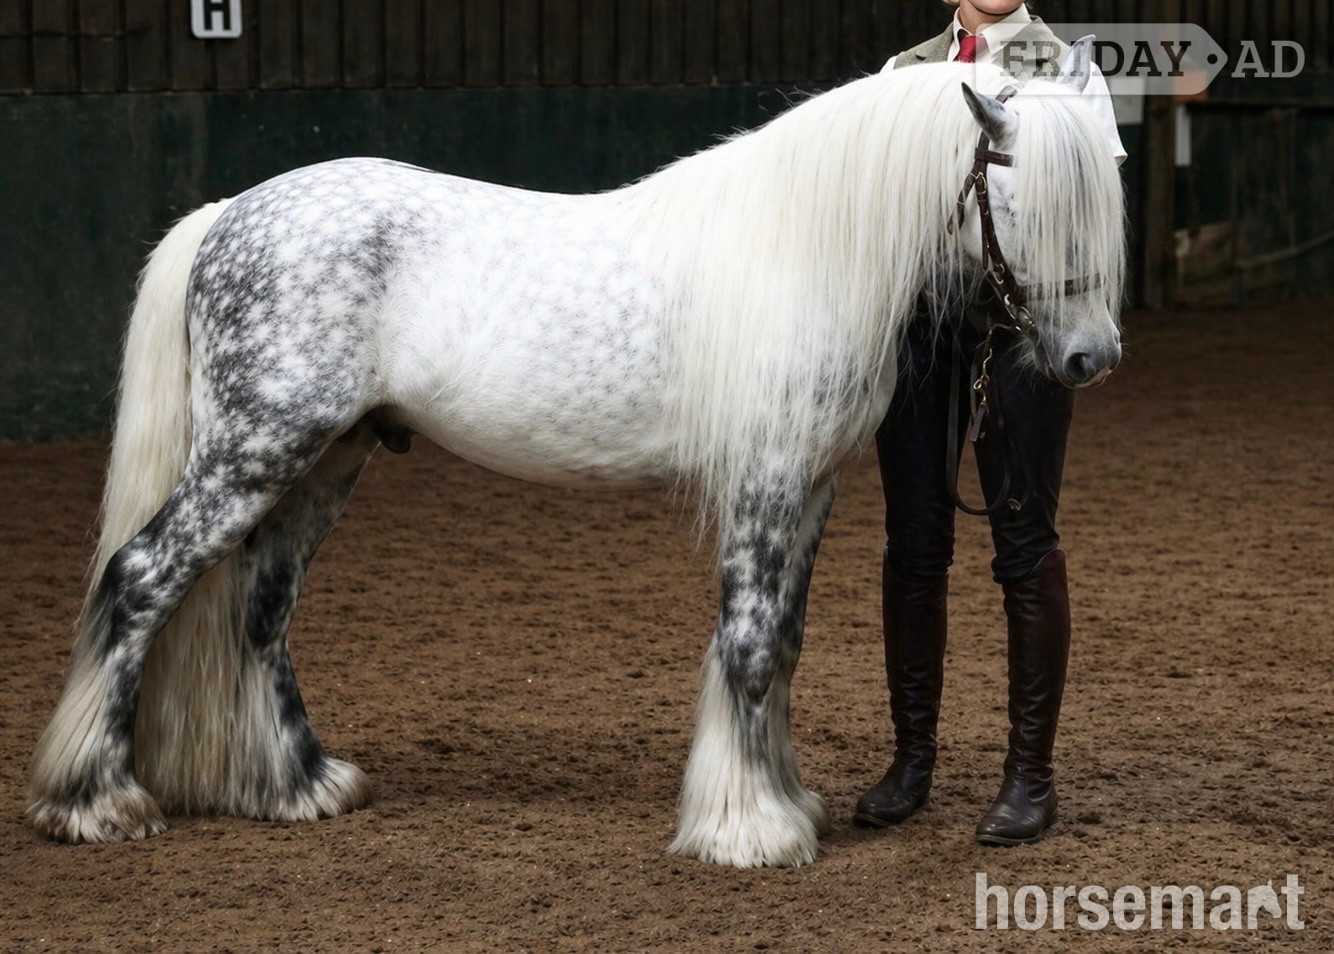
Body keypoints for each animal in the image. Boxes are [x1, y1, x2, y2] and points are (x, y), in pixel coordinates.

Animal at [29, 41, 1124, 868]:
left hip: (324, 460)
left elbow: (782, 642)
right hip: (257, 451)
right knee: (140, 577)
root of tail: (228, 215)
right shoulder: (765, 483)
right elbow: (748, 642)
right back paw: (95, 801)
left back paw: (300, 787)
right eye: (1022, 204)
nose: (1090, 358)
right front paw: (749, 832)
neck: (801, 247)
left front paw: (782, 803)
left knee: (259, 606)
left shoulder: (806, 488)